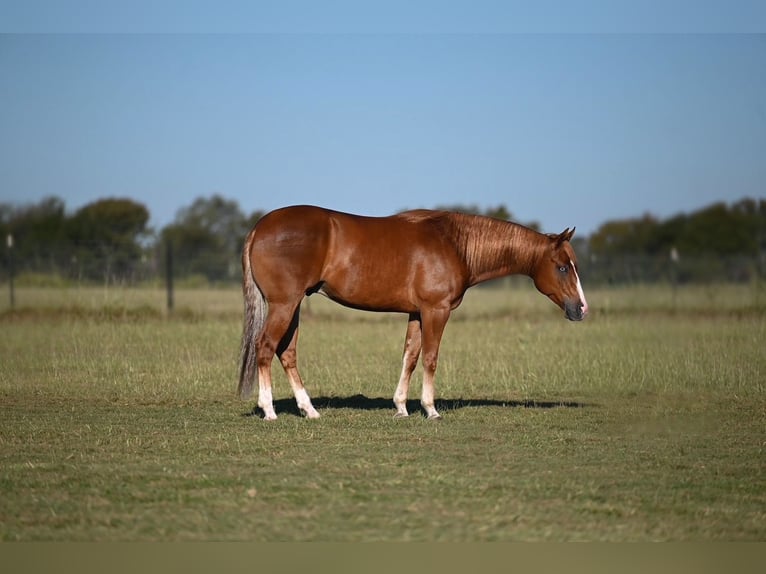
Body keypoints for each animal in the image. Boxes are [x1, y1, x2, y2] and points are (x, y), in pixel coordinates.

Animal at [238, 205, 588, 420]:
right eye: (562, 267)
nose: (581, 309)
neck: (455, 243)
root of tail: (259, 228)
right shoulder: (436, 310)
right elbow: (430, 357)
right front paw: (431, 409)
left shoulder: (417, 314)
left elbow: (410, 356)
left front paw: (401, 407)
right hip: (285, 304)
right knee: (265, 347)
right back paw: (269, 410)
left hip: (293, 305)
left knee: (287, 353)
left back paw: (309, 410)